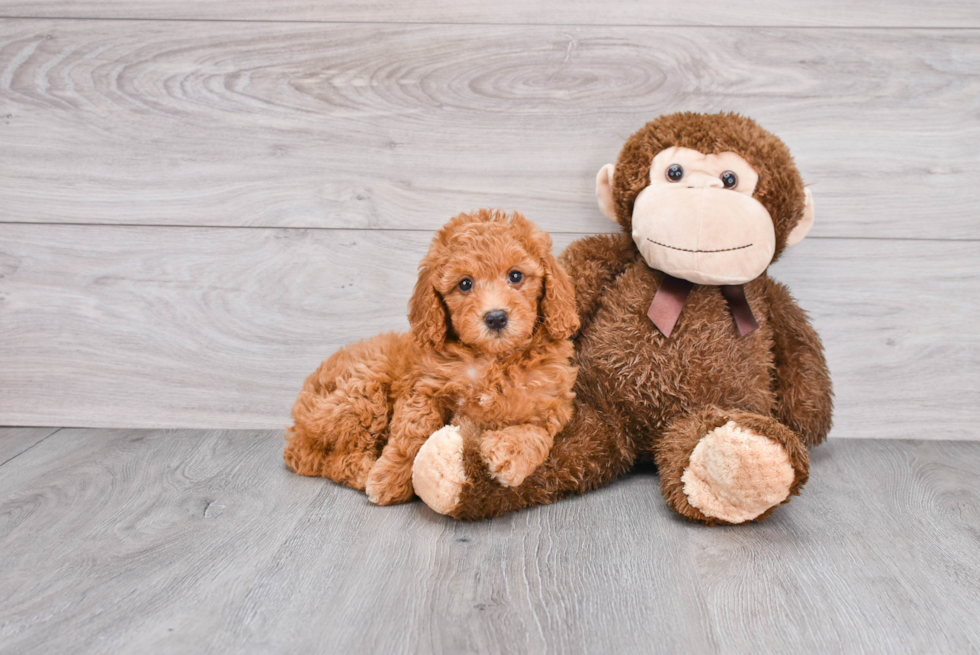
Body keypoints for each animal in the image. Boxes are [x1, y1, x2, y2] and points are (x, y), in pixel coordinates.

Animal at [284, 210, 580, 508]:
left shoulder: (550, 402)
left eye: (516, 276)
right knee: (334, 459)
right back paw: (365, 472)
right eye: (465, 284)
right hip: (362, 391)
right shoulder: (424, 388)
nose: (496, 317)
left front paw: (509, 454)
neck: (492, 359)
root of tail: (297, 427)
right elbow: (412, 433)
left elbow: (536, 432)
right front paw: (390, 476)